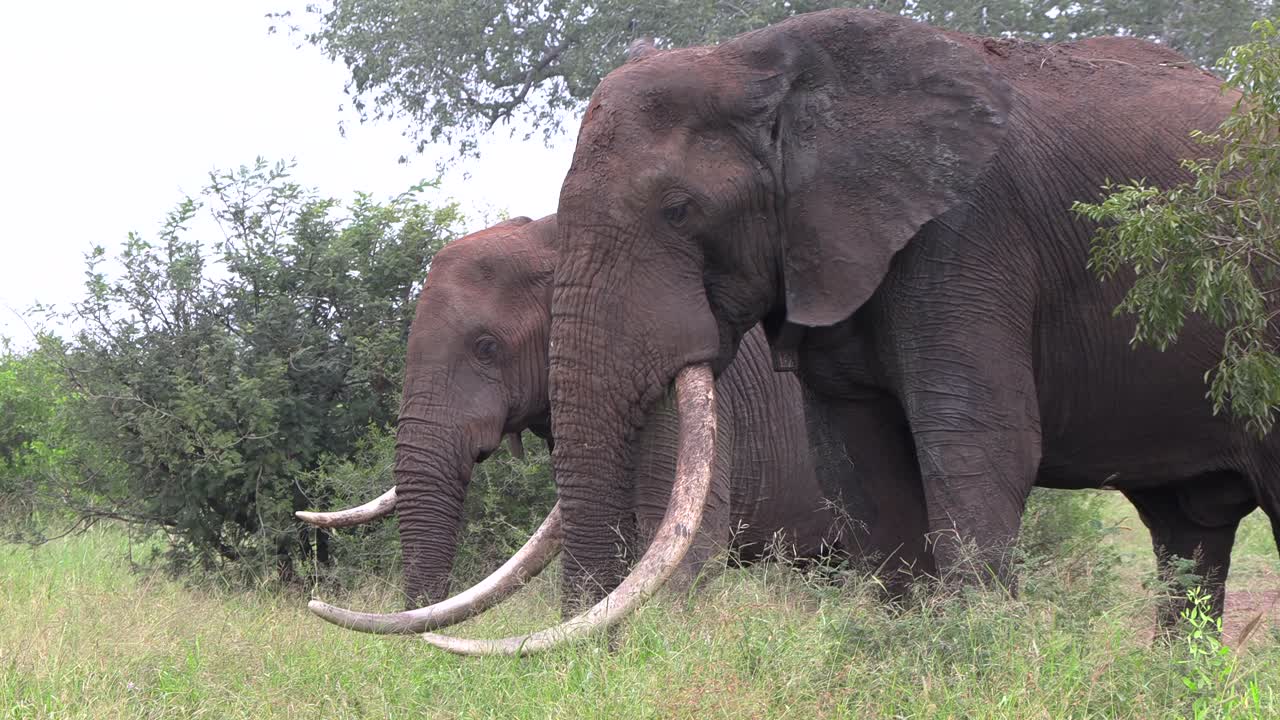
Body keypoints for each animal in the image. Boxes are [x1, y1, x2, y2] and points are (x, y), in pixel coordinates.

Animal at [421, 9, 1276, 655]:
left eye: (679, 211)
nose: (603, 662)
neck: (766, 65)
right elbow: (862, 462)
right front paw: (909, 664)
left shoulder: (967, 231)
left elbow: (978, 442)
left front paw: (980, 664)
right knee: (1185, 532)